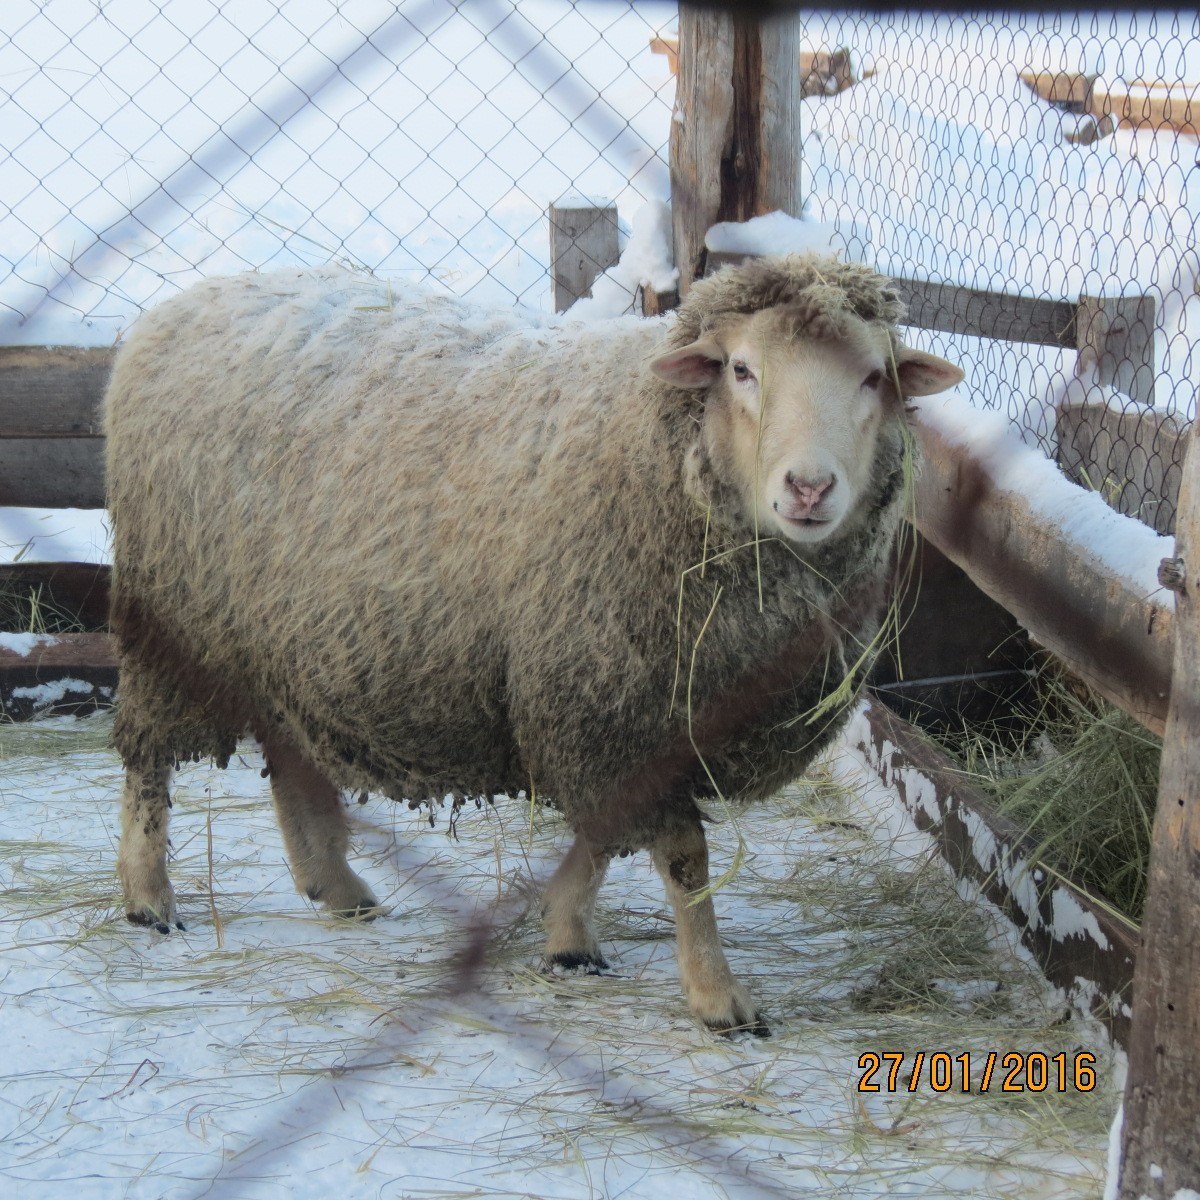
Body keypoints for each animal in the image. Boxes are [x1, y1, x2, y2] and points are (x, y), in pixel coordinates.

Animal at [105, 258, 964, 1036]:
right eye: (742, 370)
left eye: (872, 379)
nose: (809, 488)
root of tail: (181, 303)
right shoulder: (609, 702)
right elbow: (682, 855)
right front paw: (716, 996)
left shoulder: (606, 712)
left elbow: (602, 837)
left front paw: (568, 936)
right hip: (172, 620)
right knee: (148, 758)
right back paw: (151, 898)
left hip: (282, 632)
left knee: (290, 756)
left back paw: (335, 886)